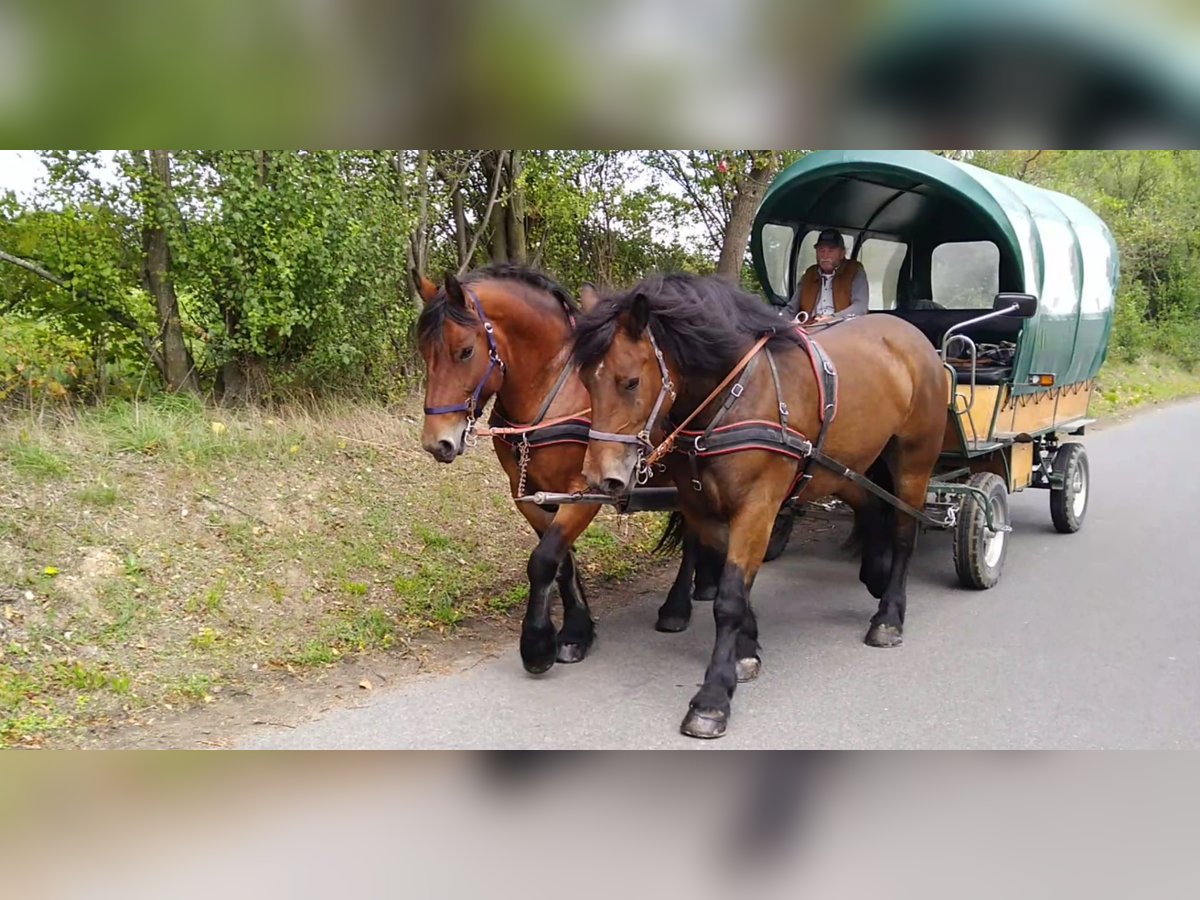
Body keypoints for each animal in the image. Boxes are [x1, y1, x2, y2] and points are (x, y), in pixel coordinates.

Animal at [412, 267, 720, 676]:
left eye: (464, 351)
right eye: (423, 352)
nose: (437, 442)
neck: (554, 395)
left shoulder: (585, 492)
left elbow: (544, 560)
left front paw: (540, 643)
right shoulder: (530, 496)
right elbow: (562, 563)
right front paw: (577, 628)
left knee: (693, 536)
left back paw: (677, 606)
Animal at [576, 274, 950, 739]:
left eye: (629, 381)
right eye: (586, 381)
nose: (600, 478)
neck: (734, 397)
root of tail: (911, 336)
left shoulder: (757, 507)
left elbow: (729, 598)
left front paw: (713, 698)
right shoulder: (703, 508)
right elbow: (732, 585)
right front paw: (746, 649)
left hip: (914, 461)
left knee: (903, 533)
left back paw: (890, 615)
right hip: (843, 466)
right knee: (869, 505)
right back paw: (875, 573)